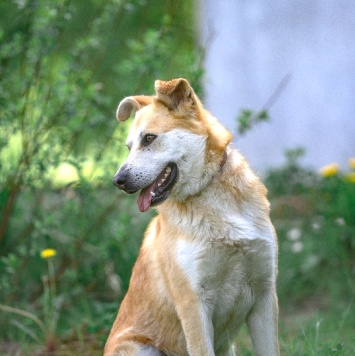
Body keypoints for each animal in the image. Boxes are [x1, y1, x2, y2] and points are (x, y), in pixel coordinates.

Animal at [105, 78, 280, 356]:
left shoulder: (265, 294)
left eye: (149, 138)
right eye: (129, 147)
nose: (118, 181)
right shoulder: (193, 303)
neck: (208, 192)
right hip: (139, 349)